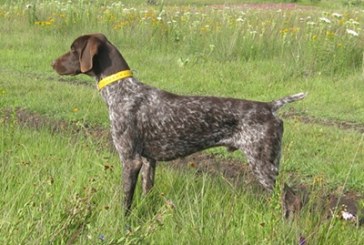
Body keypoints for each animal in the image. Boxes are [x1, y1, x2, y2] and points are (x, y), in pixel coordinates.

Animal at [51, 33, 306, 214]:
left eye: (73, 49)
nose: (52, 63)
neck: (122, 91)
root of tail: (270, 106)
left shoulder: (130, 159)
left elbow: (126, 201)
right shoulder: (148, 160)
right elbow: (147, 191)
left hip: (263, 164)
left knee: (290, 199)